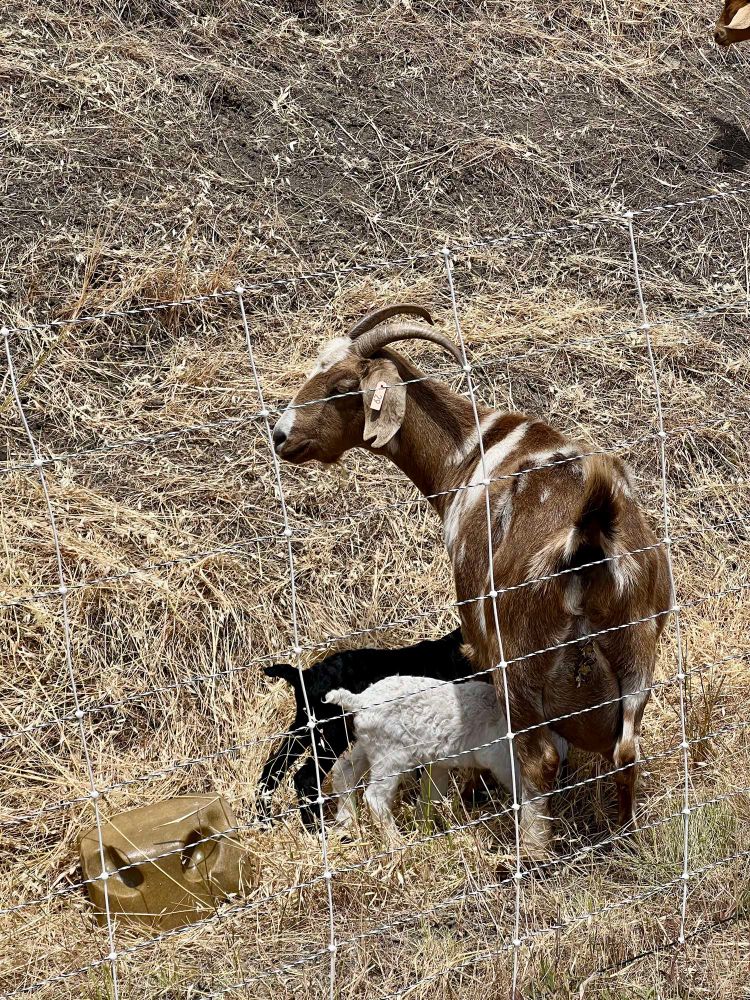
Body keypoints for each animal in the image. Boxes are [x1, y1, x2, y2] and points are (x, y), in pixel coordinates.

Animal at [256, 627, 475, 829]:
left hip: (303, 728)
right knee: (305, 777)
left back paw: (265, 821)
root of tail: (305, 675)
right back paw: (317, 830)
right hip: (332, 733)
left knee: (272, 767)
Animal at [324, 675, 567, 839]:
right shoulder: (501, 759)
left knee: (344, 771)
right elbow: (518, 783)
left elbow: (432, 794)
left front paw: (426, 825)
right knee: (375, 797)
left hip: (368, 745)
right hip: (390, 755)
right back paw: (396, 843)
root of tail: (359, 700)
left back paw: (347, 820)